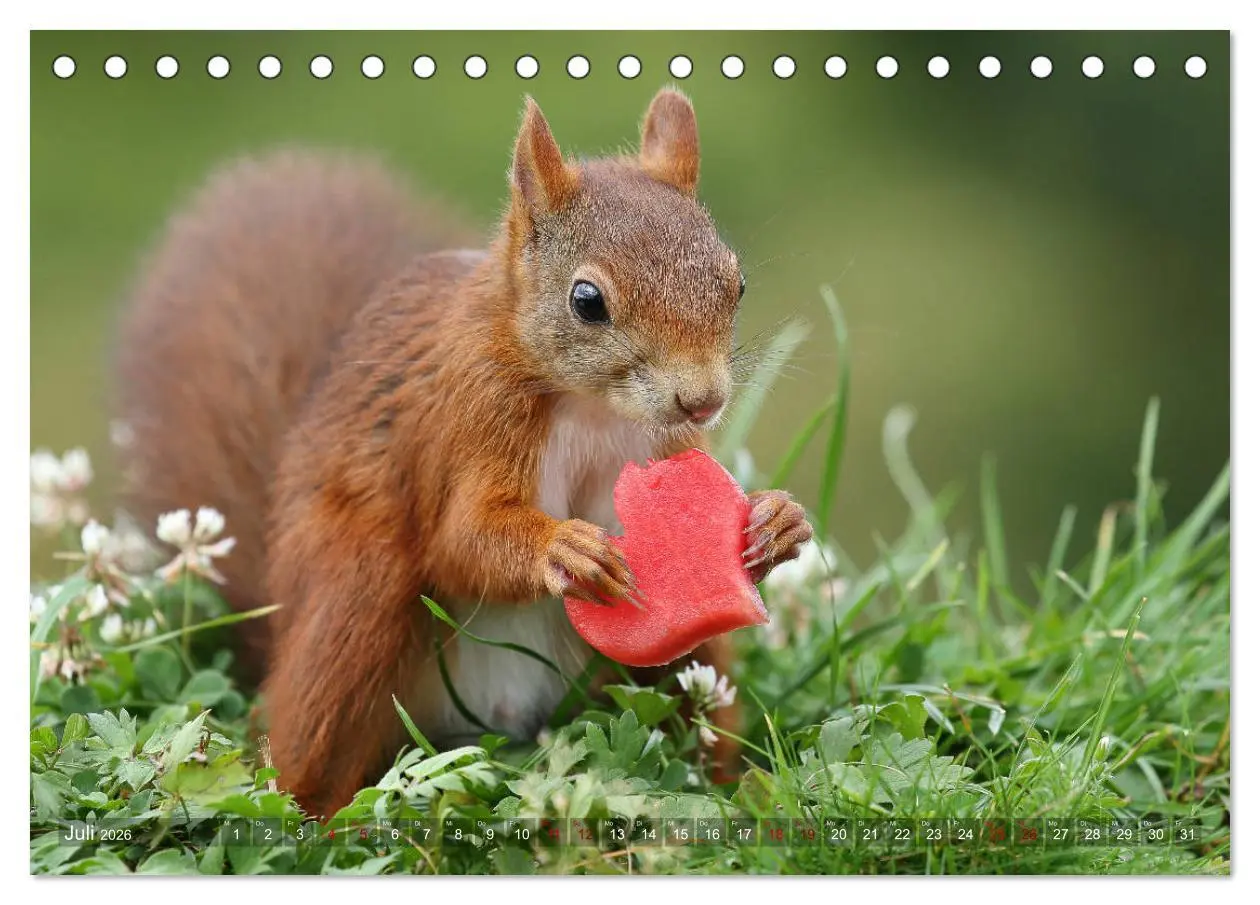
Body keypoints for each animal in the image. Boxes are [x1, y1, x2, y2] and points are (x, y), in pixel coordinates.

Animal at [113, 88, 813, 817]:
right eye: (587, 300)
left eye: (736, 283)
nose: (702, 400)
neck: (591, 406)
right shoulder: (470, 420)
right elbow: (462, 540)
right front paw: (564, 549)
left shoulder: (662, 444)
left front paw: (777, 521)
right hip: (357, 599)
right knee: (306, 751)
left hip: (687, 668)